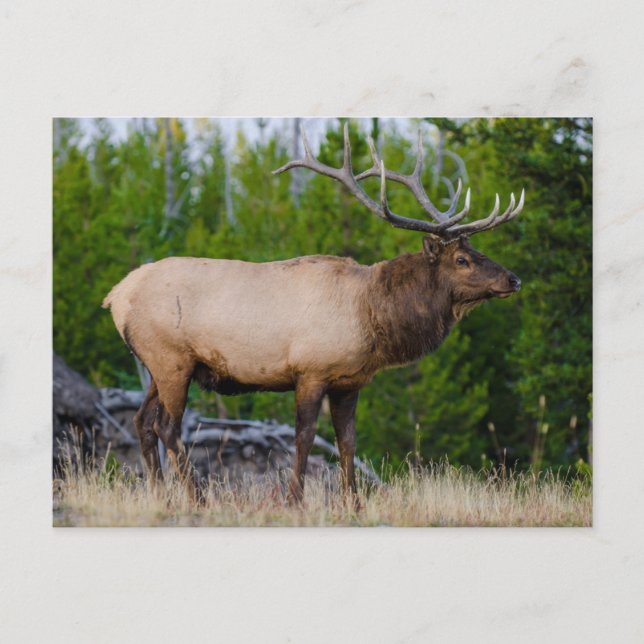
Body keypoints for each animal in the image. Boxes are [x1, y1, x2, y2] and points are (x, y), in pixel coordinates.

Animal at [103, 123, 524, 506]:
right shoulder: (310, 371)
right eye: (462, 259)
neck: (372, 316)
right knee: (167, 427)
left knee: (142, 422)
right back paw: (197, 499)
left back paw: (160, 497)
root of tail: (115, 296)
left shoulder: (349, 382)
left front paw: (353, 503)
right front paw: (295, 500)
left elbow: (347, 441)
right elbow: (304, 437)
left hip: (158, 365)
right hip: (172, 359)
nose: (513, 279)